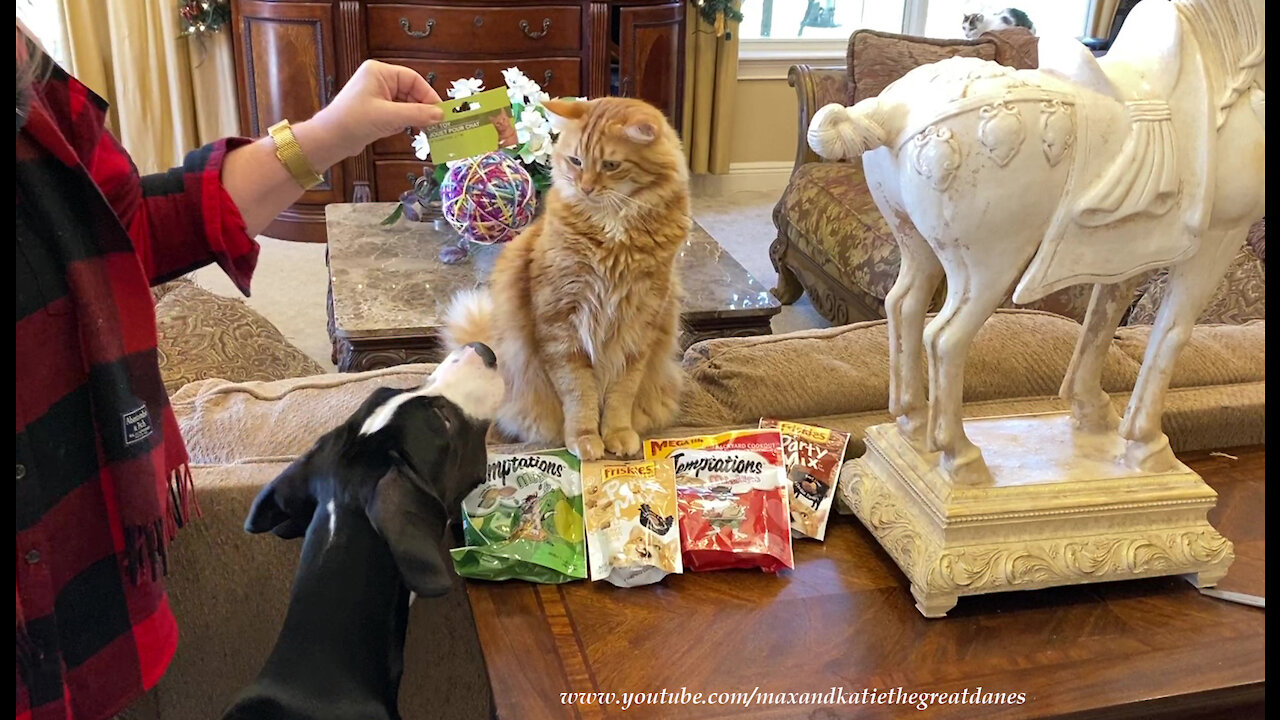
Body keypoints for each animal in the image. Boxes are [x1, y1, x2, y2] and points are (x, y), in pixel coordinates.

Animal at [442, 95, 691, 456]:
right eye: (576, 161)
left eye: (611, 165)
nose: (585, 187)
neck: (614, 234)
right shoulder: (560, 324)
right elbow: (578, 394)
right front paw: (584, 439)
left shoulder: (640, 325)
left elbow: (621, 394)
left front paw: (617, 434)